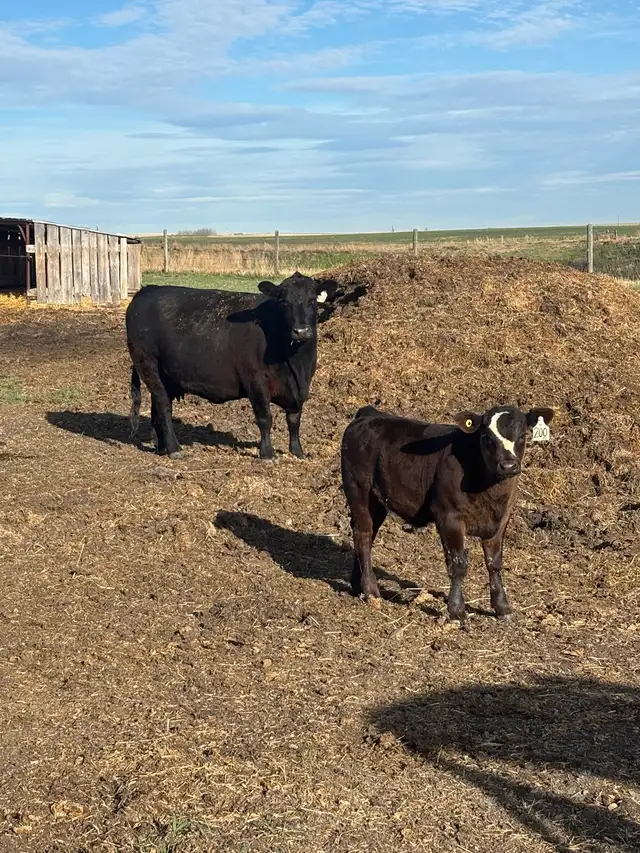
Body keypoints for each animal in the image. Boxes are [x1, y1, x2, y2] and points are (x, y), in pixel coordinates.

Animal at [126, 272, 340, 460]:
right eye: (284, 302)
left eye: (312, 300)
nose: (301, 331)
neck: (296, 363)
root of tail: (146, 290)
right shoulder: (256, 381)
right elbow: (265, 418)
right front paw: (267, 454)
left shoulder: (300, 388)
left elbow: (294, 421)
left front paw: (297, 451)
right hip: (148, 366)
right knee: (164, 407)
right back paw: (174, 449)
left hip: (166, 375)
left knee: (157, 408)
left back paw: (161, 447)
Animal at [340, 403, 554, 621]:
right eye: (486, 437)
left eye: (523, 435)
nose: (508, 465)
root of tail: (370, 414)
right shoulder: (449, 516)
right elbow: (458, 564)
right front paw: (457, 610)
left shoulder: (501, 521)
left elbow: (494, 564)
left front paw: (502, 608)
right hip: (359, 491)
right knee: (363, 534)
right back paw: (371, 591)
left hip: (377, 501)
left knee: (366, 536)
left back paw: (357, 584)